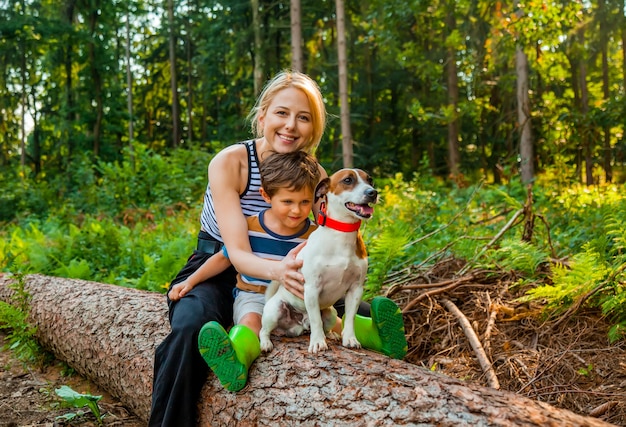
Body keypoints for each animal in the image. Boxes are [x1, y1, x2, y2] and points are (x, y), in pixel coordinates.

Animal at [258, 168, 376, 354]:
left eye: (370, 180)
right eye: (348, 180)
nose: (373, 193)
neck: (341, 235)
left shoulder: (356, 289)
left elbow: (350, 318)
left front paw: (350, 338)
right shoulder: (312, 288)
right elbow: (315, 320)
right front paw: (318, 342)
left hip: (330, 313)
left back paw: (331, 335)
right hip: (275, 310)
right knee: (264, 330)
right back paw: (266, 343)